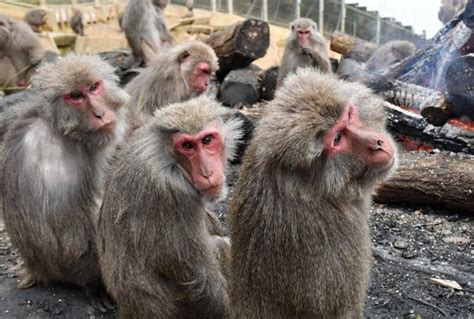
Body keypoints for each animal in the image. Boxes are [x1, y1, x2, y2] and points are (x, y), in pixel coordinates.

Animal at [0, 54, 130, 312]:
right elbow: (76, 243)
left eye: (93, 87)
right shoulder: (57, 162)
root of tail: (36, 268)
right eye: (76, 96)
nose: (100, 113)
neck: (60, 129)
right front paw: (95, 289)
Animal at [96, 95, 241, 319]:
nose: (207, 173)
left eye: (207, 140)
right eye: (187, 146)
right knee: (220, 247)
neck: (168, 160)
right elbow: (201, 281)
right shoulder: (171, 195)